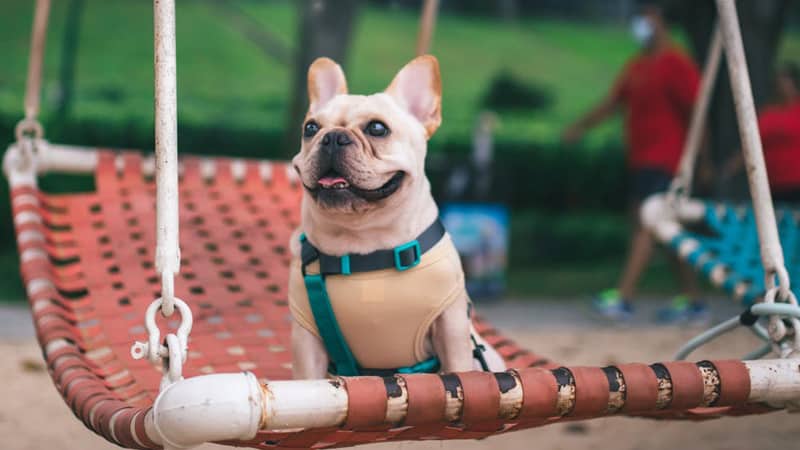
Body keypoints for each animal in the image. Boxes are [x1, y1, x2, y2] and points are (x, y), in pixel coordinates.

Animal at [288, 56, 504, 380]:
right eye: (310, 128)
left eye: (377, 128)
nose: (333, 137)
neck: (364, 238)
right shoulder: (307, 339)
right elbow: (308, 379)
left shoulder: (450, 327)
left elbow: (458, 369)